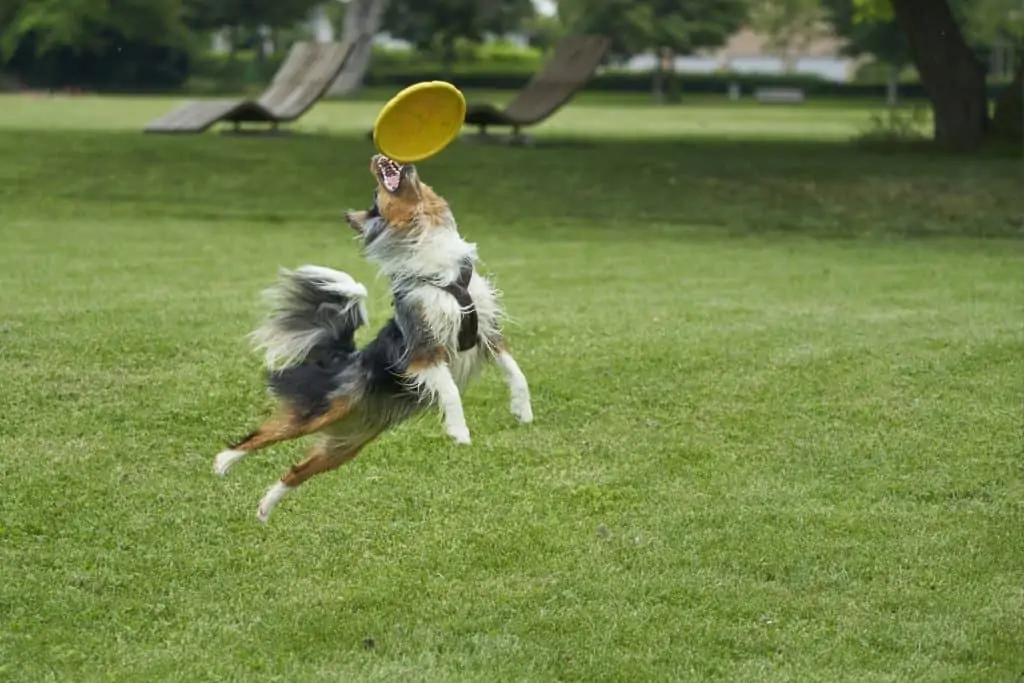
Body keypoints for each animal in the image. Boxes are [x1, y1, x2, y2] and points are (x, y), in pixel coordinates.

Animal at [214, 152, 536, 520]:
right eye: (375, 196)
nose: (384, 156)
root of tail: (344, 357)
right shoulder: (423, 350)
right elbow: (450, 390)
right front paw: (459, 431)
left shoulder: (488, 333)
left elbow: (517, 373)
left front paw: (523, 411)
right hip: (322, 409)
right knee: (264, 433)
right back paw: (223, 462)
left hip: (345, 444)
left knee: (296, 470)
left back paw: (265, 508)